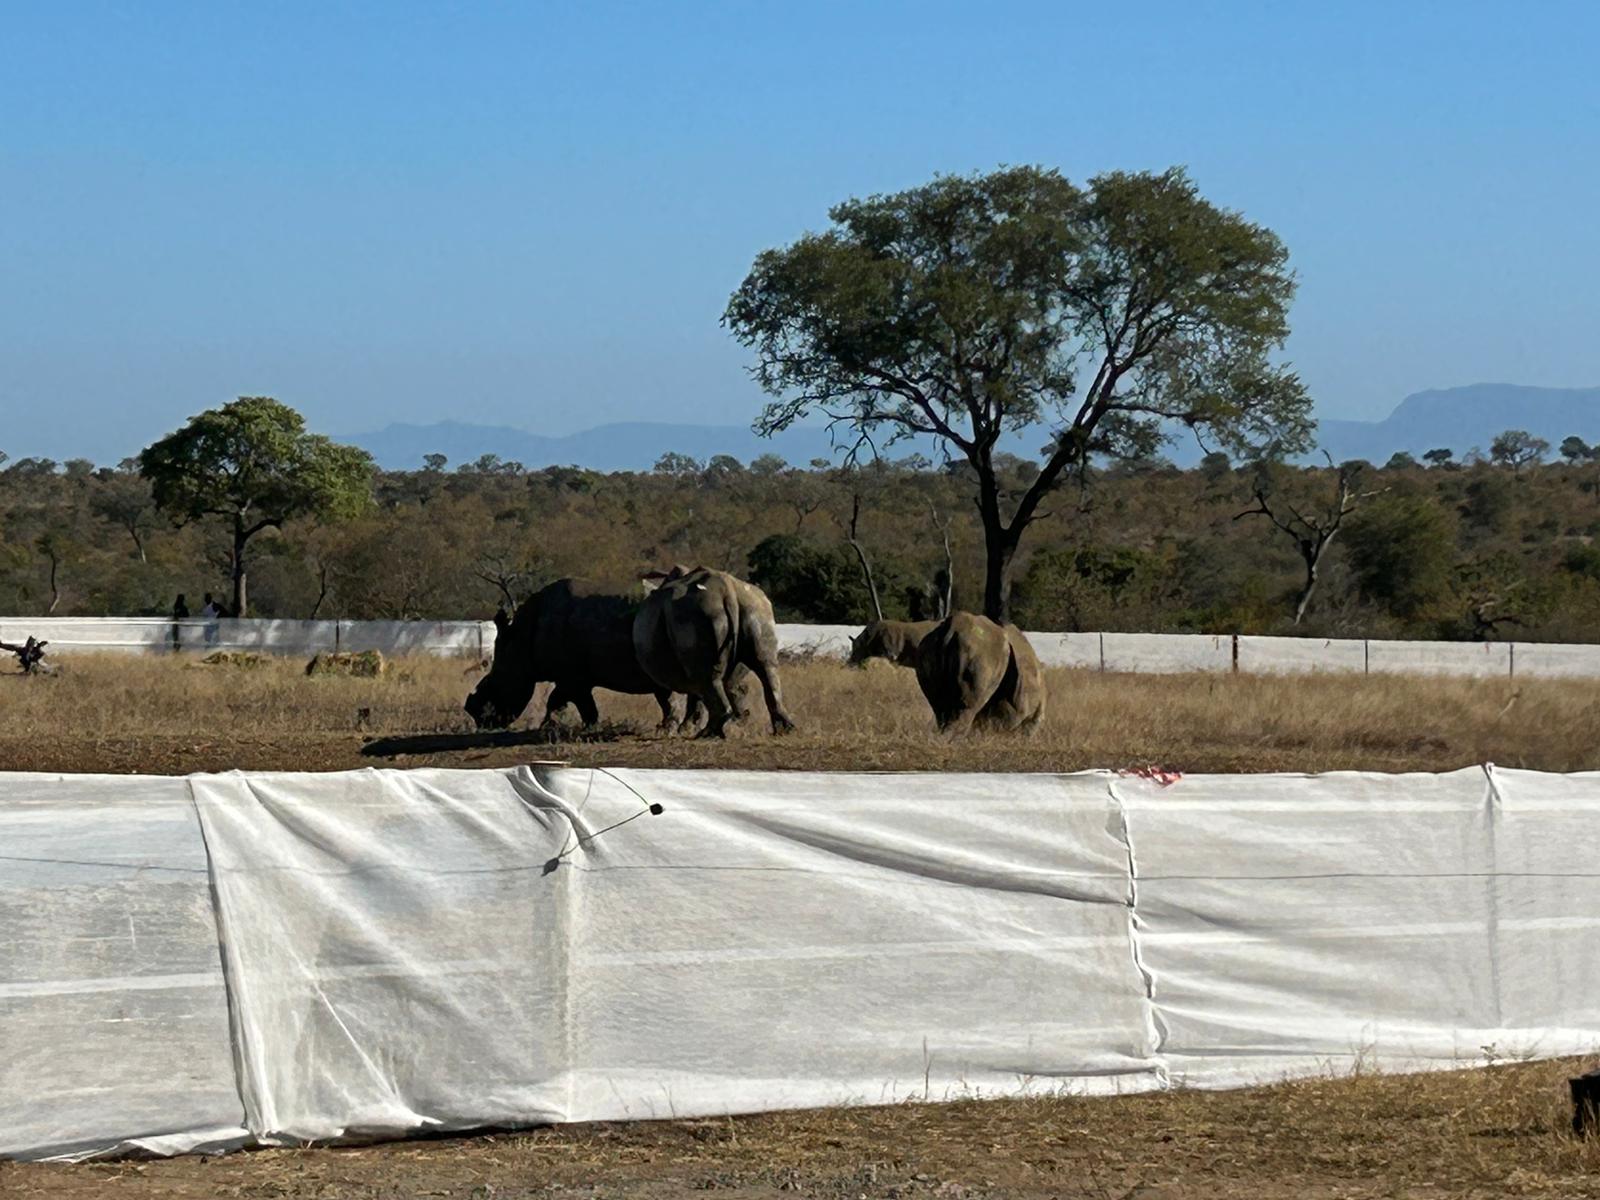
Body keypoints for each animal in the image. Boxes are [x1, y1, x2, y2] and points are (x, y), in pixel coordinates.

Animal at [464, 578, 697, 731]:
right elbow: (574, 702)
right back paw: (678, 727)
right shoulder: (576, 677)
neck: (519, 642)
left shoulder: (571, 676)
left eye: (494, 682)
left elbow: (558, 700)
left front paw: (549, 727)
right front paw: (585, 727)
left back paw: (671, 729)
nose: (479, 720)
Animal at [632, 565, 796, 738]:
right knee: (766, 666)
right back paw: (784, 730)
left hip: (696, 615)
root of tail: (728, 591)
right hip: (755, 606)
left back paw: (709, 734)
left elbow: (694, 697)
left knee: (707, 677)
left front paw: (685, 729)